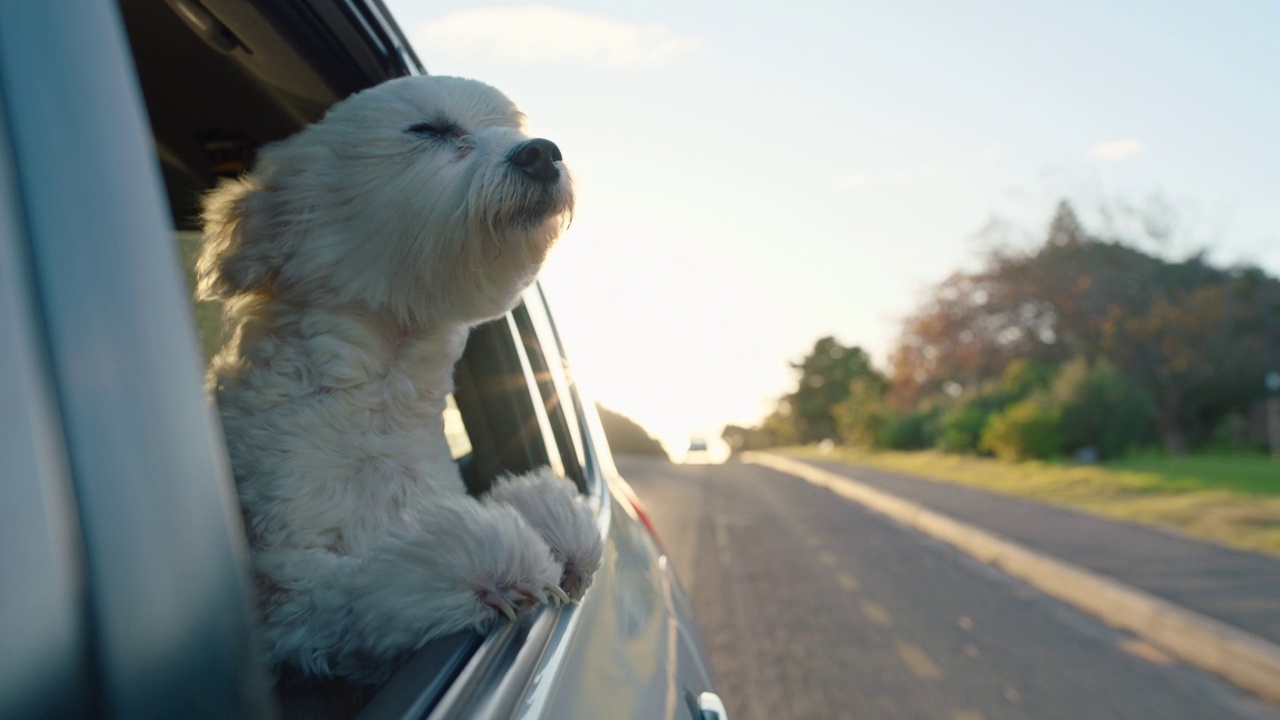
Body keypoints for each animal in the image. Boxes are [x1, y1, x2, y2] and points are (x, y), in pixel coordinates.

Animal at [195, 75, 604, 681]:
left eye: (513, 128)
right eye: (428, 130)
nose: (541, 153)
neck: (382, 394)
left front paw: (553, 522)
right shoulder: (285, 591)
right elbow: (365, 584)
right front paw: (492, 569)